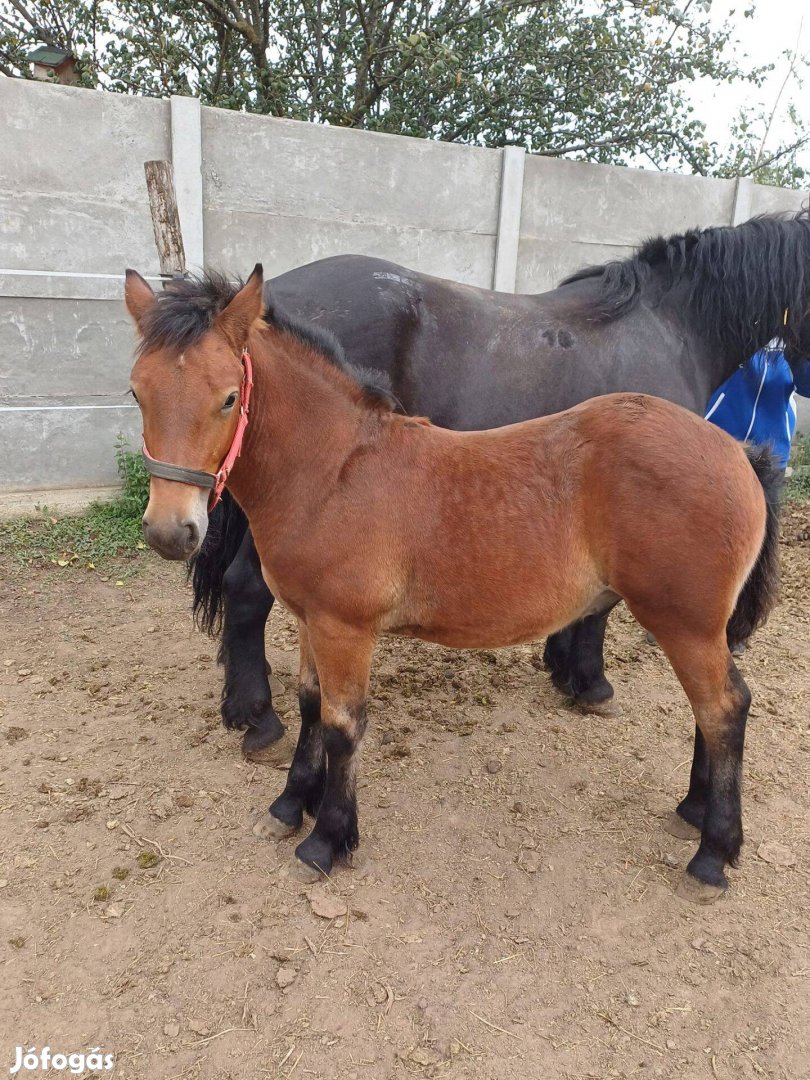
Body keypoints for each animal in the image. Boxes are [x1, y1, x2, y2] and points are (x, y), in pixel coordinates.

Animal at [128, 263, 786, 902]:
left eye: (228, 398)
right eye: (136, 391)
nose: (170, 531)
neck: (335, 470)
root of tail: (738, 451)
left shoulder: (345, 628)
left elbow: (342, 727)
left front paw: (326, 841)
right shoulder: (310, 619)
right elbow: (312, 708)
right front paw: (290, 806)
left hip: (686, 623)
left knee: (724, 709)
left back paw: (712, 855)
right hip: (694, 626)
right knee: (714, 709)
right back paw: (694, 811)